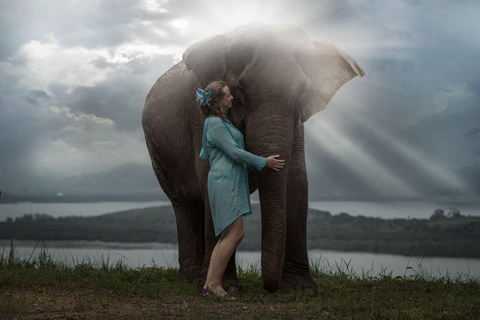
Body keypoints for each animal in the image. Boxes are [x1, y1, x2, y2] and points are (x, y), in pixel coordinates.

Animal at [142, 21, 364, 292]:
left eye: (303, 92)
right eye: (240, 91)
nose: (271, 289)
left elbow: (297, 179)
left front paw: (303, 289)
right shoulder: (198, 116)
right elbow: (207, 174)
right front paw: (228, 287)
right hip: (158, 154)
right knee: (184, 202)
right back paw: (193, 278)